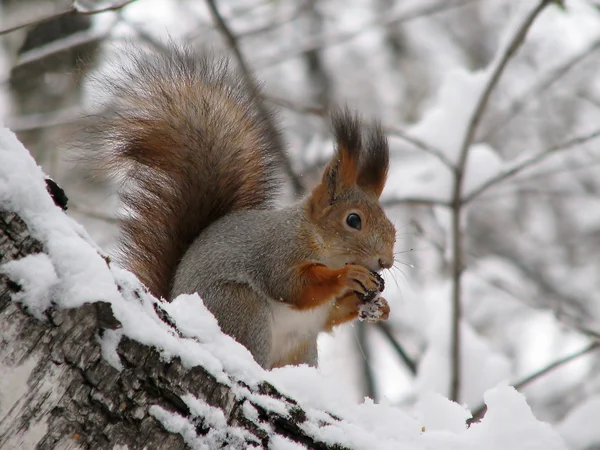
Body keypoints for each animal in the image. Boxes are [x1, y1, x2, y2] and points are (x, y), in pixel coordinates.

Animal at [89, 45, 396, 370]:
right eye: (353, 220)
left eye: (391, 224)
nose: (387, 261)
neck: (319, 241)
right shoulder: (277, 252)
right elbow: (293, 287)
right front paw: (348, 276)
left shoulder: (321, 311)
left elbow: (332, 314)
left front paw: (379, 307)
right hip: (242, 309)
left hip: (300, 349)